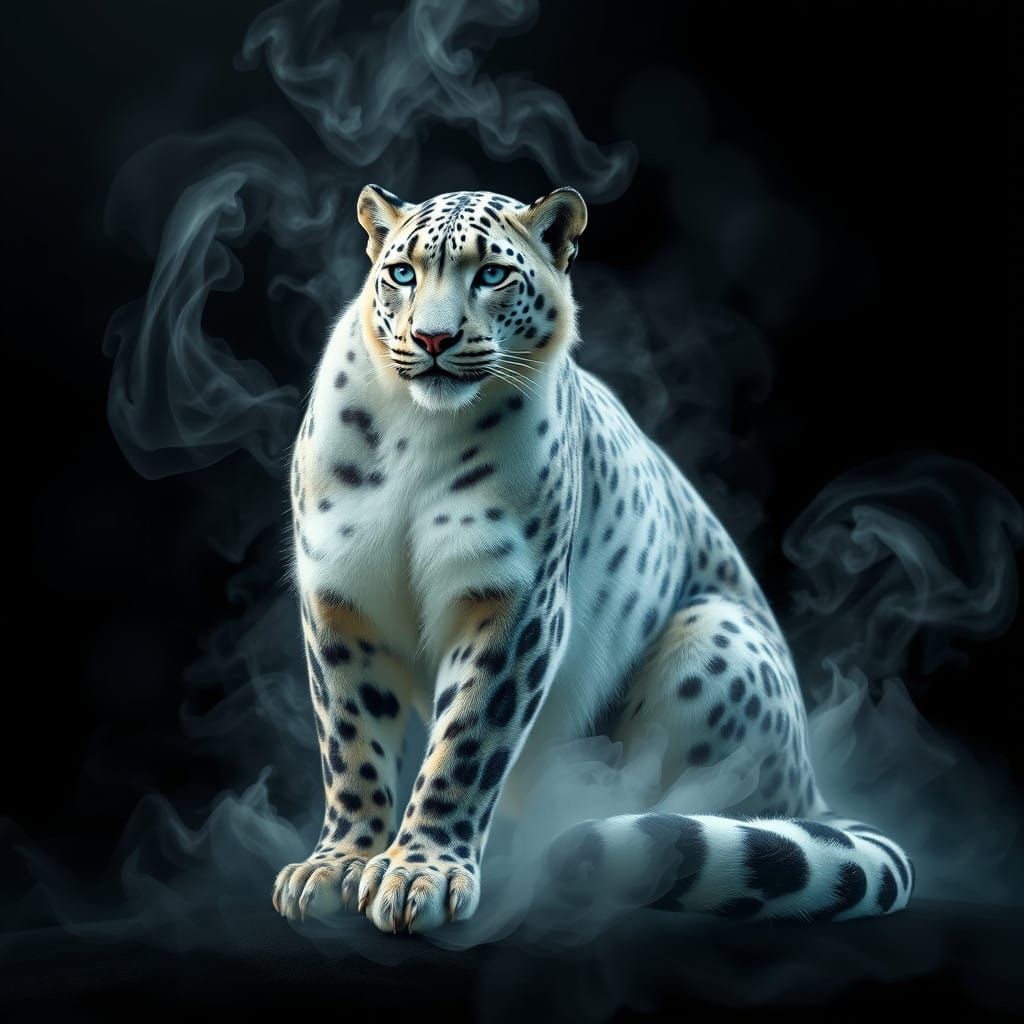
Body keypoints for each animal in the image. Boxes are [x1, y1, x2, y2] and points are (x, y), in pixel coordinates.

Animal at [272, 183, 915, 933]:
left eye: (492, 275)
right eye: (401, 272)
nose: (432, 339)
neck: (417, 433)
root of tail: (809, 779)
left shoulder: (514, 599)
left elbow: (465, 742)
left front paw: (418, 874)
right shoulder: (341, 595)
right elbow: (350, 742)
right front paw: (335, 866)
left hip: (712, 639)